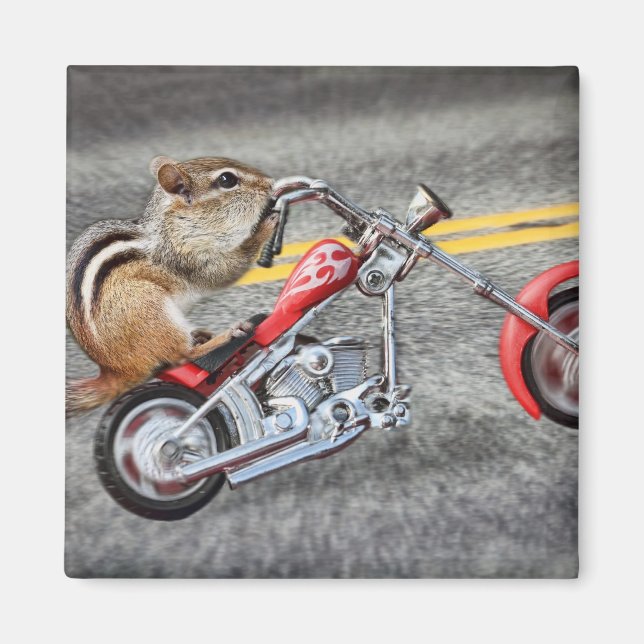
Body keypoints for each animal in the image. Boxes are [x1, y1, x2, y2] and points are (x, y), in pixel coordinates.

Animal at [66, 155, 277, 417]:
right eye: (227, 180)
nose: (271, 183)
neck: (174, 226)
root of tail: (116, 370)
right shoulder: (188, 258)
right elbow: (224, 271)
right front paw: (265, 226)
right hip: (149, 306)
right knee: (183, 355)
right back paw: (226, 335)